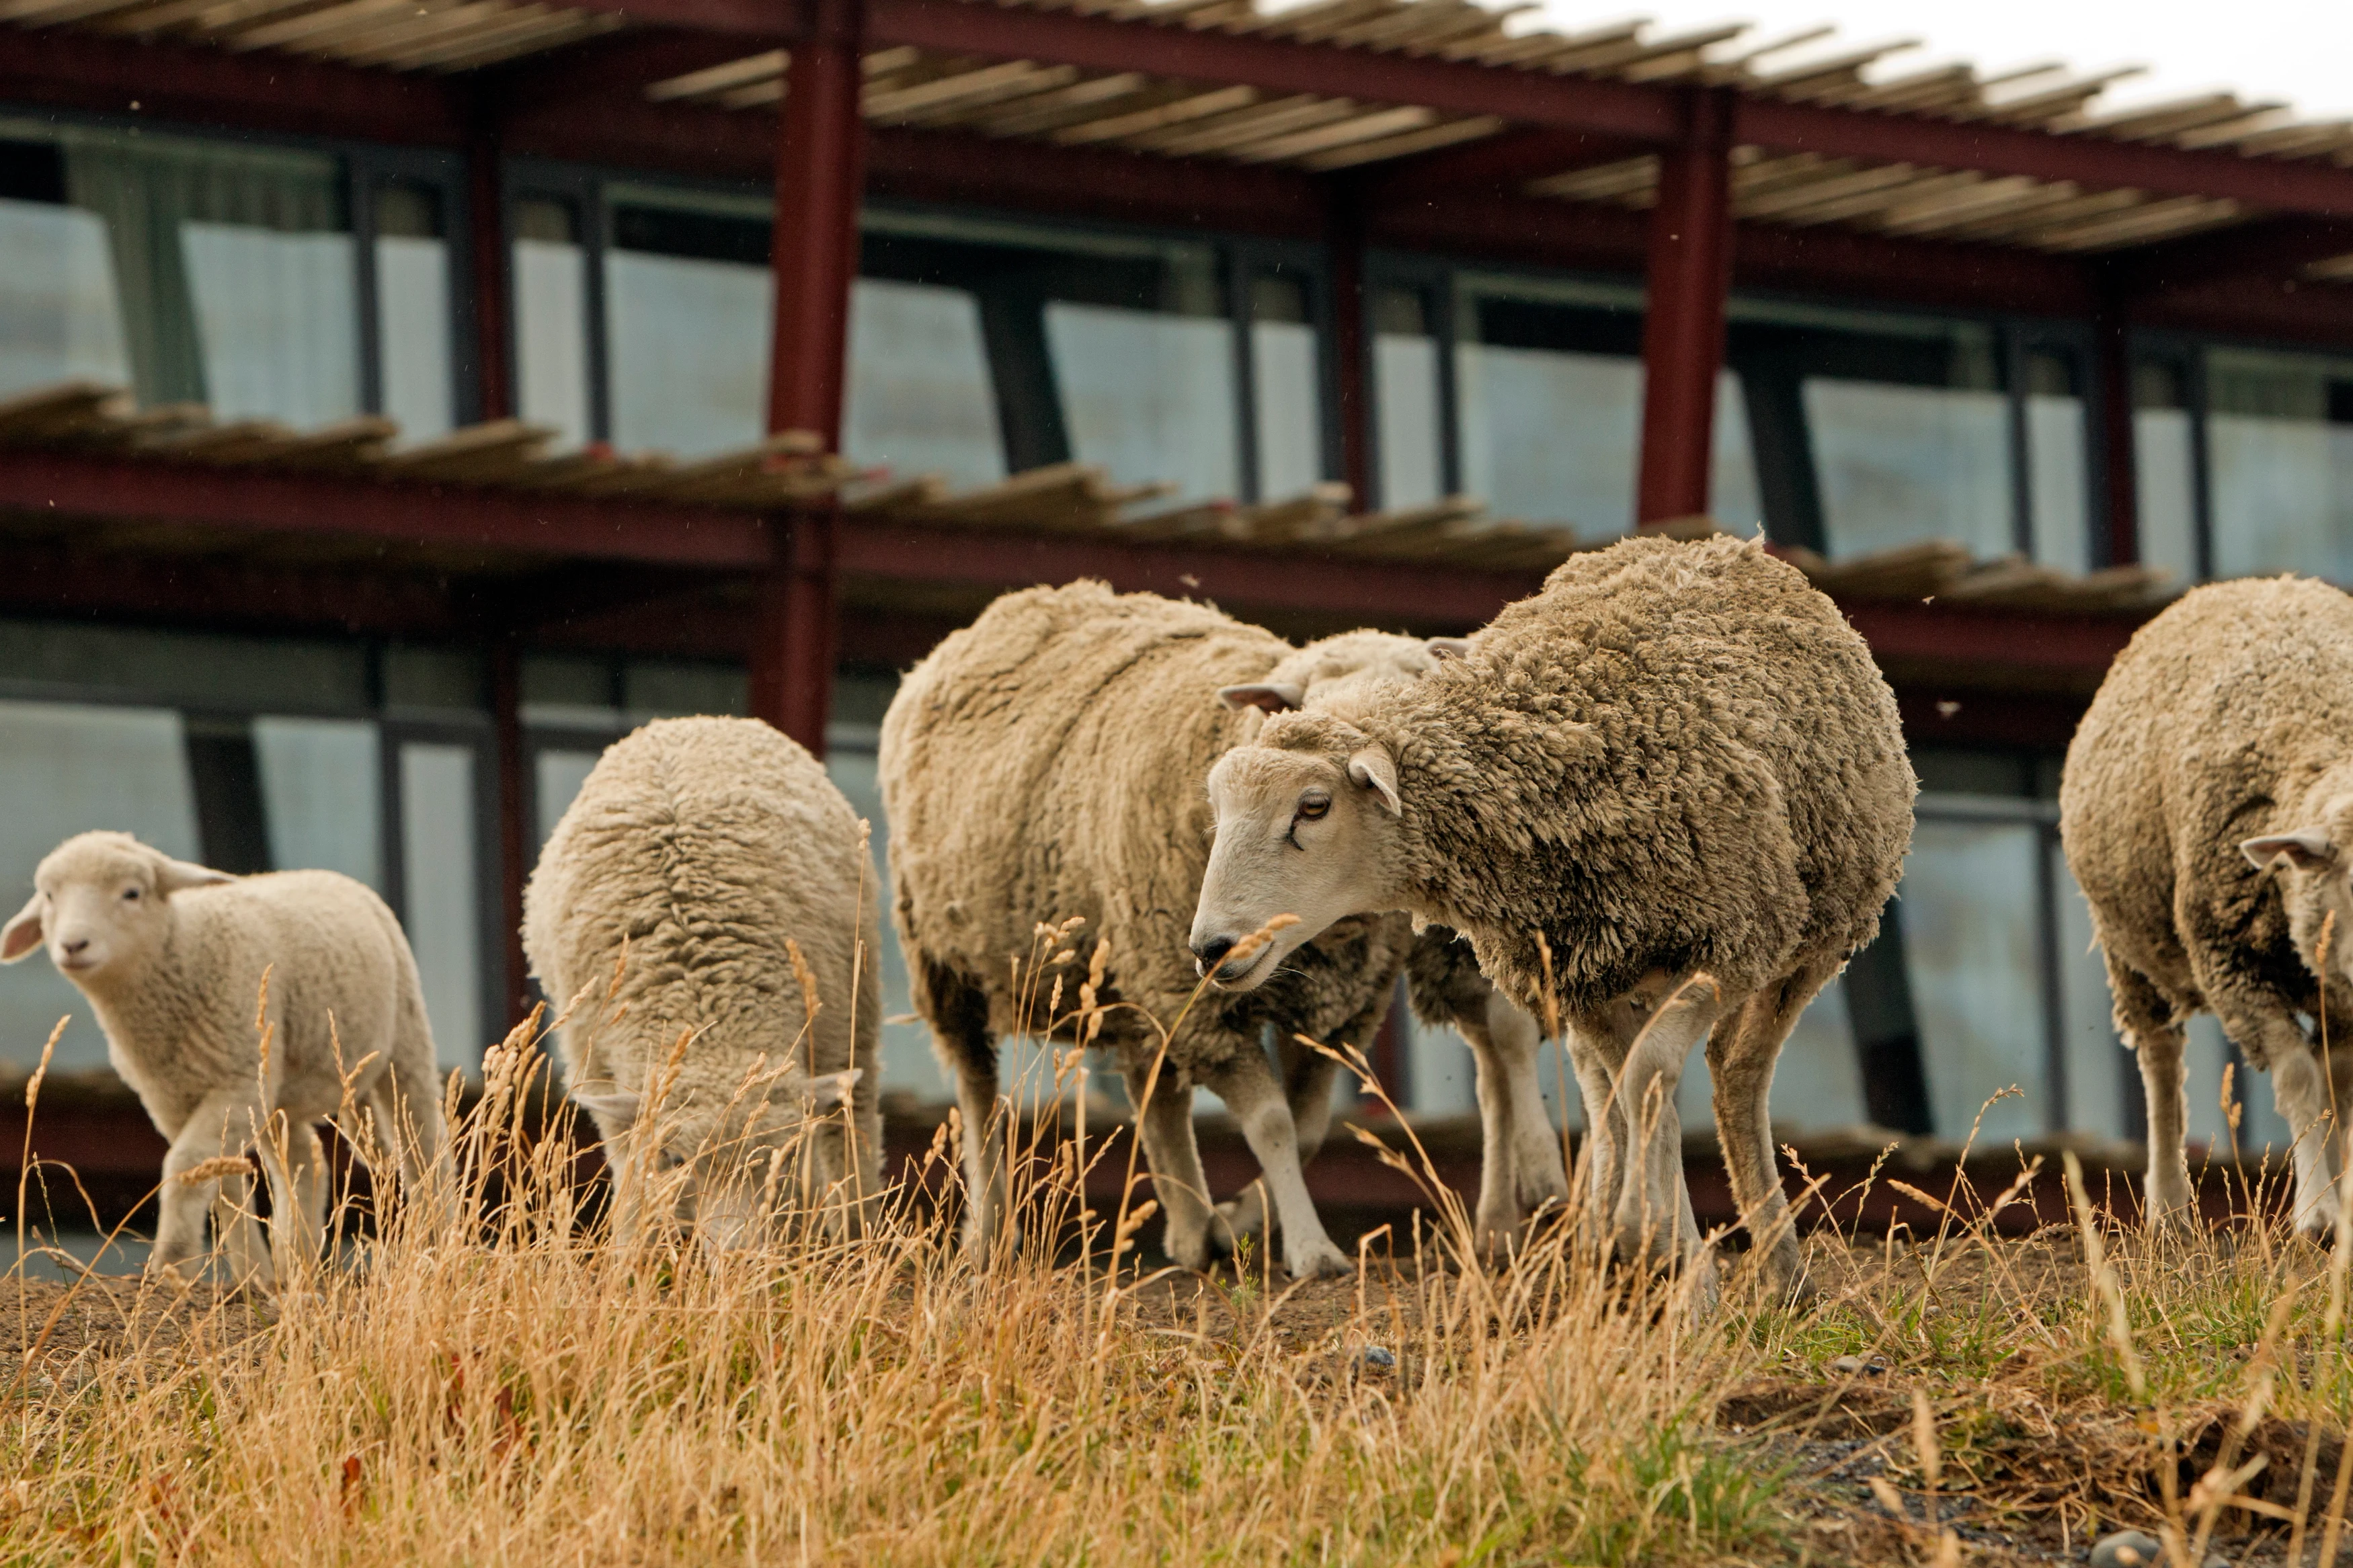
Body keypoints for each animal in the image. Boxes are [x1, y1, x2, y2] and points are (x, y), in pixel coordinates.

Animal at [0, 830, 445, 1289]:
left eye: (132, 893)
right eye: (49, 896)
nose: (73, 945)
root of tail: (332, 877)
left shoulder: (235, 1082)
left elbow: (188, 1164)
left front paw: (173, 1267)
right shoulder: (172, 1100)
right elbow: (218, 1178)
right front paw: (252, 1275)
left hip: (402, 1044)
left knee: (424, 1146)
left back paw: (438, 1241)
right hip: (279, 1089)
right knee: (306, 1161)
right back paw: (295, 1261)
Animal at [524, 716, 880, 1246]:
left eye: (784, 1156)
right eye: (674, 1159)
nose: (738, 1253)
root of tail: (689, 722)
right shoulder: (600, 1070)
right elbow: (634, 1178)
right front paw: (634, 1252)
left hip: (854, 1020)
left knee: (850, 1133)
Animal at [881, 580, 1549, 1279]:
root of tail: (1008, 609)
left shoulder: (1332, 1013)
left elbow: (1308, 1129)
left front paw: (1242, 1222)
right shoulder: (1202, 1002)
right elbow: (1275, 1123)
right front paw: (1310, 1248)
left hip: (1139, 978)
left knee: (1158, 1094)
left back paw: (1191, 1227)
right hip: (949, 959)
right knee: (978, 1092)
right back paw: (989, 1234)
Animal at [1189, 534, 1915, 1297]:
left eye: (1313, 805)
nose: (1211, 946)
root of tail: (1718, 543)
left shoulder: (1729, 939)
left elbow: (1650, 1073)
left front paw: (1660, 1248)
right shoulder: (1582, 971)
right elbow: (1630, 1090)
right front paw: (1656, 1246)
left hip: (1814, 936)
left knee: (1736, 1071)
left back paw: (1777, 1267)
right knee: (1621, 1083)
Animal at [2059, 574, 2353, 1236]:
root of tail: (2251, 583)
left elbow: (2340, 1087)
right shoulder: (2231, 960)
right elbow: (2299, 1078)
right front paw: (2317, 1215)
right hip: (2130, 948)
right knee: (2162, 1063)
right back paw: (2169, 1207)